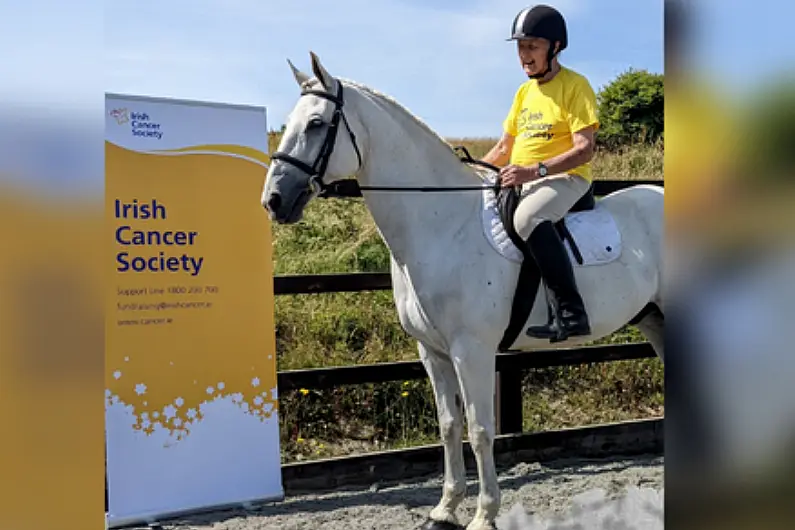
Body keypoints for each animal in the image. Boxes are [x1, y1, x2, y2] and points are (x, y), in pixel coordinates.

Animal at [262, 50, 664, 528]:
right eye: (290, 121)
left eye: (317, 123)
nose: (273, 200)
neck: (444, 225)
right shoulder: (432, 352)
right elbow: (449, 426)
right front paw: (445, 508)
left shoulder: (471, 350)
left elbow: (479, 429)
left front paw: (484, 514)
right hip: (654, 320)